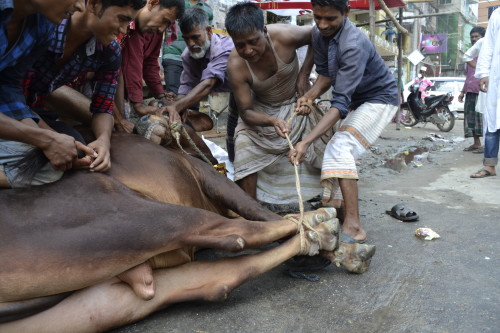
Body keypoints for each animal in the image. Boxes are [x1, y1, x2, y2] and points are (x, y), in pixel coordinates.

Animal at [0, 132, 376, 330]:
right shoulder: (210, 179)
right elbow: (258, 213)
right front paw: (334, 244)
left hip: (91, 298)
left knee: (216, 277)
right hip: (125, 217)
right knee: (236, 233)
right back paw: (323, 225)